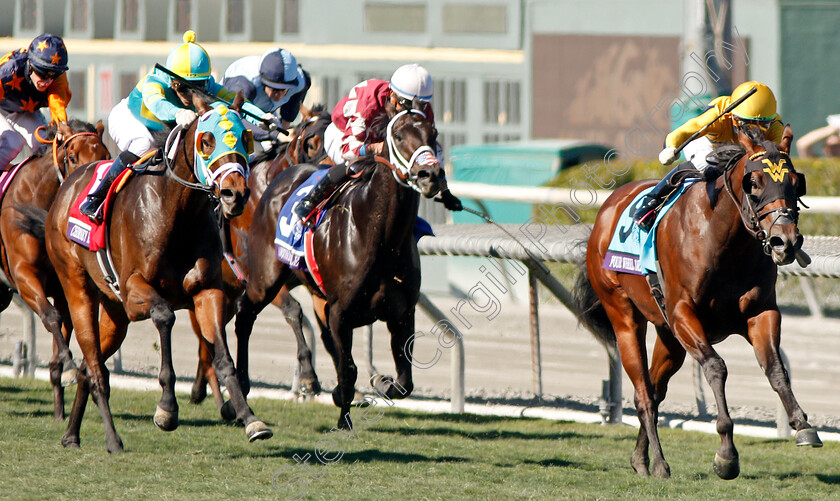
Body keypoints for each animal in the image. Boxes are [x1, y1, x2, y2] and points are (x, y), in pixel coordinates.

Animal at [2, 118, 110, 418]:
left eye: (106, 154)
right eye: (72, 157)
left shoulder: (65, 285)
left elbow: (64, 328)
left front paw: (61, 408)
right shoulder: (24, 276)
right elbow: (51, 317)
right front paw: (72, 367)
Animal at [43, 92, 272, 452]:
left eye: (245, 138)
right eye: (206, 141)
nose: (234, 194)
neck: (176, 211)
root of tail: (67, 185)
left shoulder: (207, 291)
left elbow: (223, 357)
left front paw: (250, 419)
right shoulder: (135, 291)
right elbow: (165, 316)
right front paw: (167, 408)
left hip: (115, 315)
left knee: (86, 368)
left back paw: (71, 434)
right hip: (77, 290)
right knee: (94, 368)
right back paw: (112, 439)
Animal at [190, 104, 334, 410]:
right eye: (311, 143)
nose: (326, 174)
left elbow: (326, 324)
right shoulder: (260, 278)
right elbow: (294, 310)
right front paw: (308, 377)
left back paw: (199, 388)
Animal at [235, 108, 446, 426]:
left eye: (433, 134)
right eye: (398, 136)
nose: (429, 175)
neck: (381, 236)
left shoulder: (402, 313)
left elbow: (404, 381)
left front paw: (379, 382)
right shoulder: (340, 313)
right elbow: (348, 369)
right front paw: (343, 418)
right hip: (266, 278)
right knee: (245, 315)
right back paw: (242, 385)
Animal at [576, 123, 820, 478]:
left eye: (794, 181)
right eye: (754, 183)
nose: (784, 241)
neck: (724, 241)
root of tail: (605, 212)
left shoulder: (761, 313)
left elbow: (775, 368)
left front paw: (803, 425)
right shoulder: (683, 314)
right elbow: (716, 367)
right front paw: (726, 455)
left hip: (669, 337)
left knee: (655, 390)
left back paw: (640, 459)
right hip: (624, 316)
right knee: (644, 394)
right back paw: (659, 464)